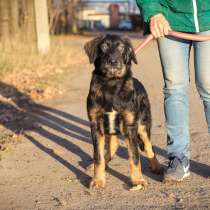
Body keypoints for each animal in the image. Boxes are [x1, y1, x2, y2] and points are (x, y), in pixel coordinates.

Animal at [84, 34, 162, 189]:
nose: (113, 61)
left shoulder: (130, 125)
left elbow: (135, 156)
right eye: (104, 46)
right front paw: (98, 180)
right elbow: (98, 156)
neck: (111, 84)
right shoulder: (95, 124)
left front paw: (138, 180)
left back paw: (156, 167)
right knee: (112, 145)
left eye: (121, 47)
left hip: (143, 125)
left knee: (149, 147)